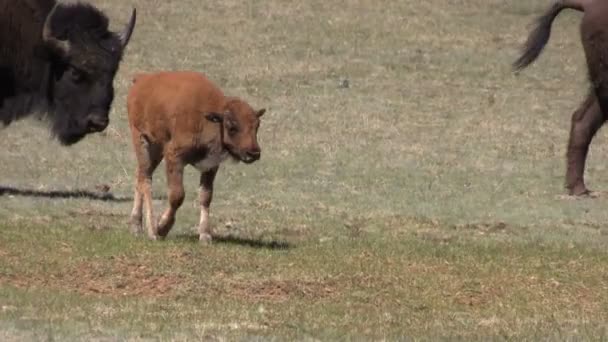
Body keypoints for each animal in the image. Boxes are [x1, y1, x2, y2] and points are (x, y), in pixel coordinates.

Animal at [127, 71, 264, 243]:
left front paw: (205, 235)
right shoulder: (174, 157)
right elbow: (177, 195)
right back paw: (151, 230)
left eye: (257, 126)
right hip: (142, 140)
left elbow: (205, 196)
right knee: (145, 180)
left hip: (156, 150)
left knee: (140, 176)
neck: (208, 119)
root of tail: (141, 79)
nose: (254, 153)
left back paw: (136, 226)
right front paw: (162, 228)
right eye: (232, 126)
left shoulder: (211, 166)